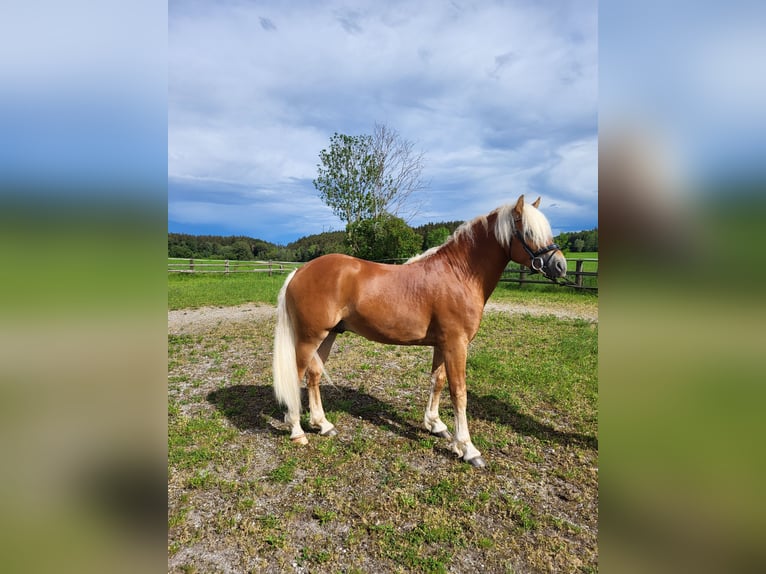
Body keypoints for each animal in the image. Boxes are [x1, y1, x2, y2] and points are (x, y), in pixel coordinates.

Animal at [272, 194, 568, 468]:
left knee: (313, 375)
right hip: (309, 338)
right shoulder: (456, 344)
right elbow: (459, 393)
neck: (459, 274)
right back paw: (297, 431)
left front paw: (435, 425)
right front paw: (468, 448)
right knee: (296, 376)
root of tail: (300, 271)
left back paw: (323, 425)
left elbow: (437, 381)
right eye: (528, 233)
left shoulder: (442, 344)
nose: (560, 266)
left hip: (328, 335)